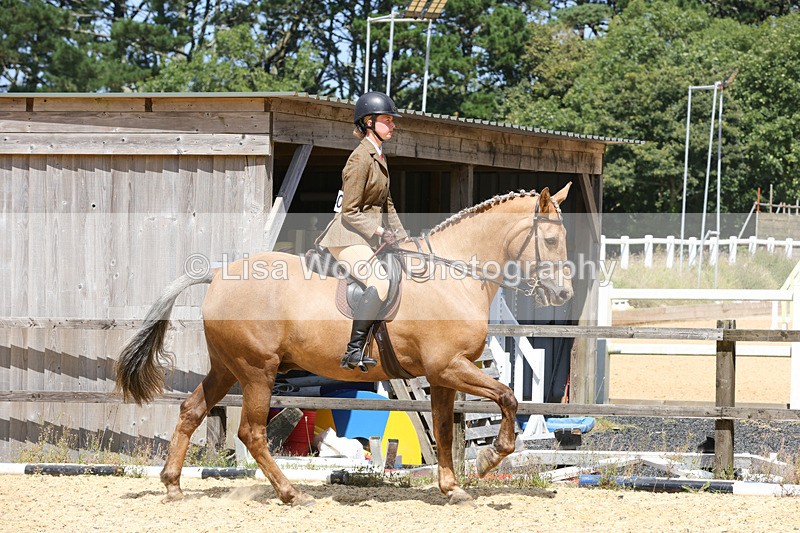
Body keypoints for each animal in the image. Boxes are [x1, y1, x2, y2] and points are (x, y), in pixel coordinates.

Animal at [115, 183, 574, 506]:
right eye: (551, 241)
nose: (563, 293)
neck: (452, 275)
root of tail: (217, 275)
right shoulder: (448, 366)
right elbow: (508, 397)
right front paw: (490, 458)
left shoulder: (443, 374)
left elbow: (445, 429)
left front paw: (451, 487)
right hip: (258, 371)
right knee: (252, 432)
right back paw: (292, 494)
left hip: (227, 368)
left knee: (191, 411)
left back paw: (173, 486)